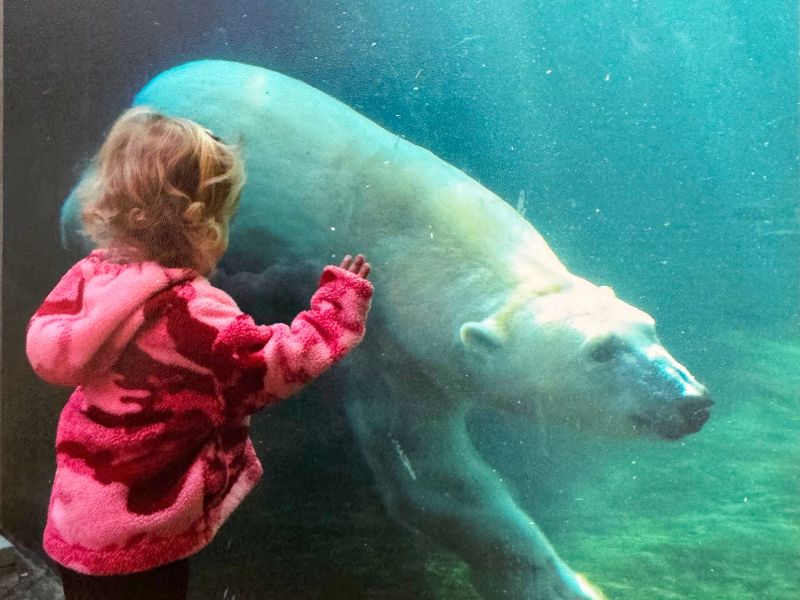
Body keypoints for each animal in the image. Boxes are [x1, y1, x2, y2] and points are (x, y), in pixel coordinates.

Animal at [61, 60, 713, 599]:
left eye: (648, 327)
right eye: (599, 353)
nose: (692, 399)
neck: (426, 242)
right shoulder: (393, 351)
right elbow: (433, 480)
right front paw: (556, 585)